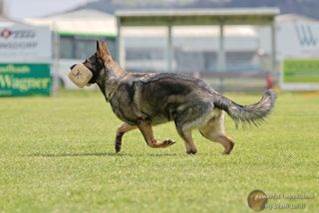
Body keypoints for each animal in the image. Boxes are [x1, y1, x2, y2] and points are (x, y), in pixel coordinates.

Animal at [70, 40, 278, 154]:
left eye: (86, 62)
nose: (71, 67)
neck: (115, 80)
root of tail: (212, 93)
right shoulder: (138, 121)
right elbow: (119, 129)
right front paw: (118, 145)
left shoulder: (142, 121)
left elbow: (151, 142)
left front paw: (163, 144)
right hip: (207, 130)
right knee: (229, 143)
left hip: (181, 124)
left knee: (193, 148)